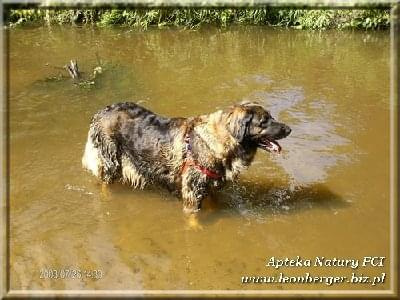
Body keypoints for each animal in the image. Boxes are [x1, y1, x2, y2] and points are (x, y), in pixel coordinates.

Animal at [83, 101, 292, 213]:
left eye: (271, 117)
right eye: (263, 122)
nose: (289, 129)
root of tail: (99, 113)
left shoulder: (211, 186)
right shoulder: (193, 190)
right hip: (110, 160)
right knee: (104, 182)